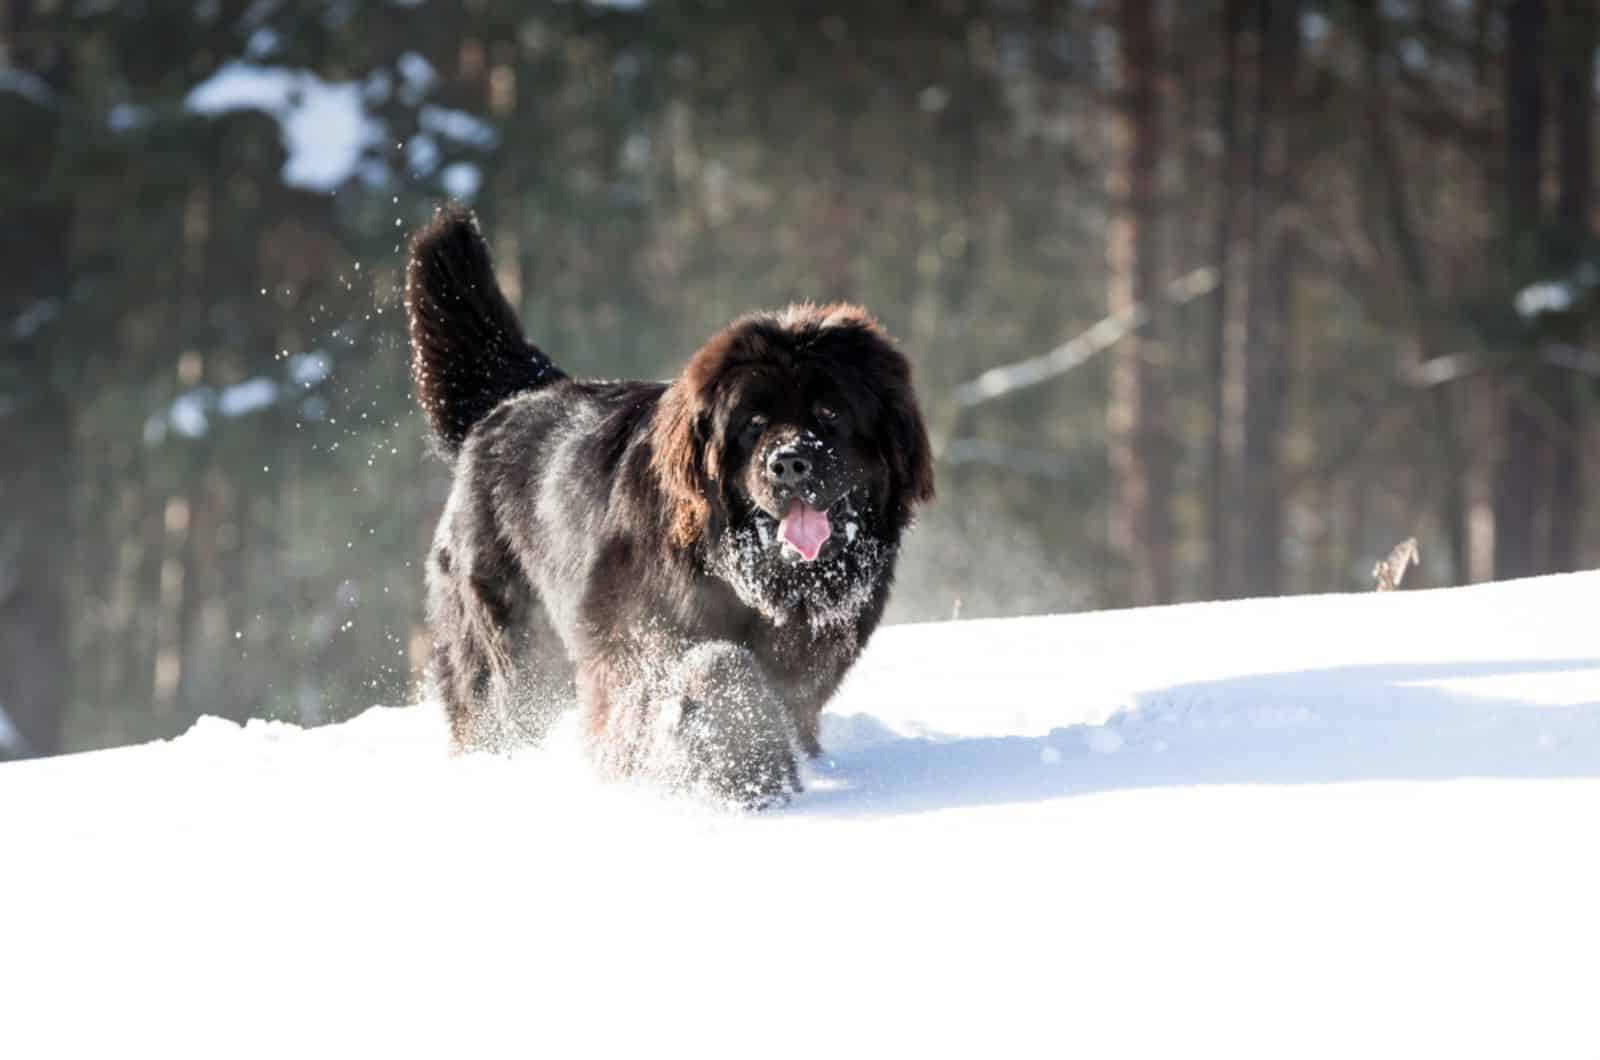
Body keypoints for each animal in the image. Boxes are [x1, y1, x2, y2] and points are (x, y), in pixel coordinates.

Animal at [406, 204, 934, 807]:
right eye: (753, 424)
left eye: (830, 413)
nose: (789, 463)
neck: (749, 577)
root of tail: (513, 401)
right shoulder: (638, 637)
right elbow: (718, 665)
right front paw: (745, 772)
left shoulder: (810, 658)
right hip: (508, 641)